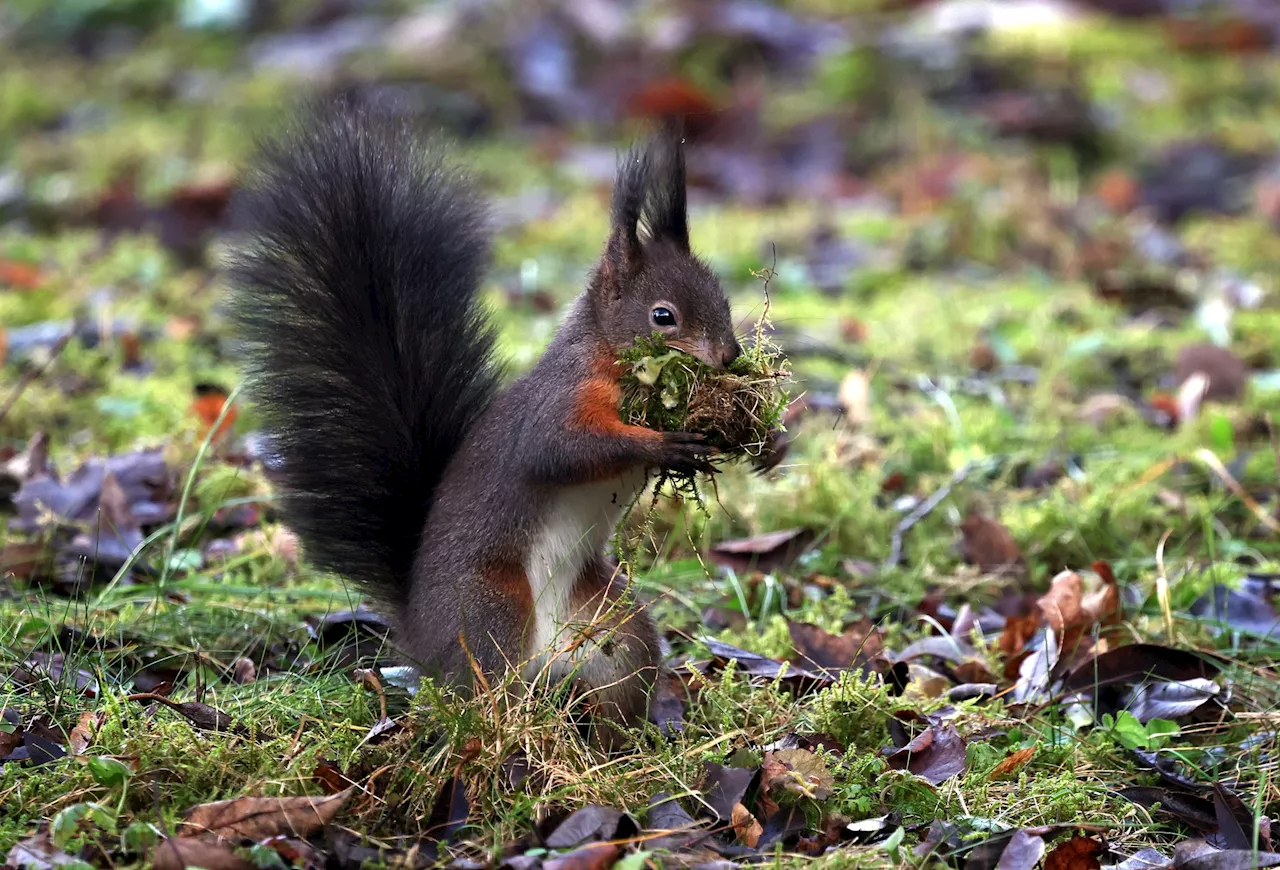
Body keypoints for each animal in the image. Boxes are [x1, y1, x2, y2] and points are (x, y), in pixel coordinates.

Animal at [226, 96, 762, 747]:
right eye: (664, 316)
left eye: (723, 299)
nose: (729, 356)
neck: (606, 356)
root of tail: (421, 636)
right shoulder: (559, 403)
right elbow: (560, 449)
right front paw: (664, 444)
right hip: (490, 606)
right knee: (484, 690)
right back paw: (503, 733)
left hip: (613, 626)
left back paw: (626, 744)